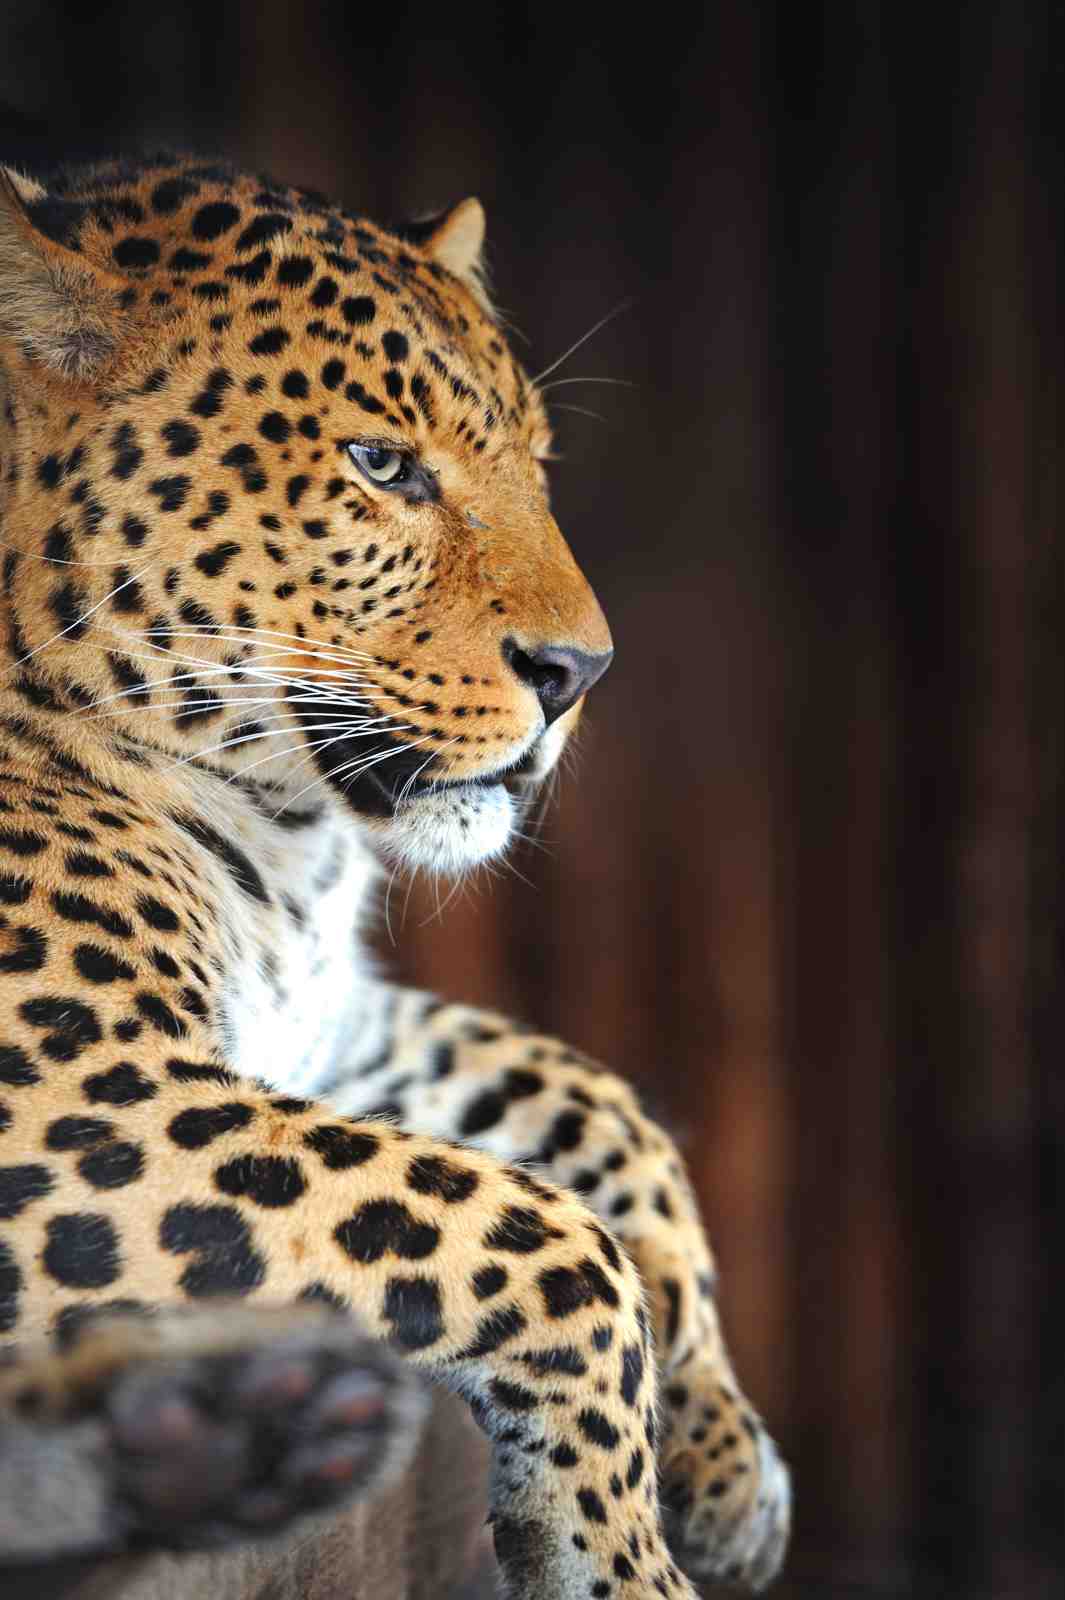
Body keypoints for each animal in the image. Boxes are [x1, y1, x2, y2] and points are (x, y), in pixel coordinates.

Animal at [0, 154, 790, 1598]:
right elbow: (547, 1238)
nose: (579, 674)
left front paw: (721, 1454)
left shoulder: (324, 1028)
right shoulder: (67, 1096)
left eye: (537, 463)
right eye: (379, 465)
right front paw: (624, 1554)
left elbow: (598, 1107)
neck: (284, 846)